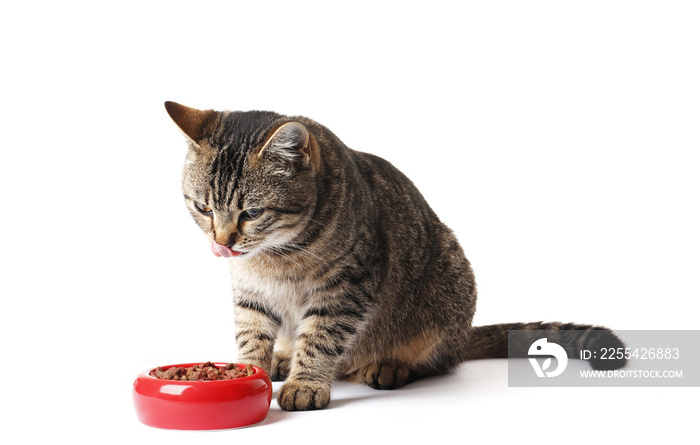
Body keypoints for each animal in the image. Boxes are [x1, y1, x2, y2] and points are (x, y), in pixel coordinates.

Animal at [165, 100, 628, 410]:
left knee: (438, 360)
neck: (275, 255)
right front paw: (253, 371)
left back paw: (389, 366)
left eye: (252, 213)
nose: (223, 242)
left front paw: (306, 382)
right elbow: (251, 334)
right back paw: (284, 357)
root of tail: (463, 334)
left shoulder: (346, 289)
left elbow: (321, 339)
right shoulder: (250, 292)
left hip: (449, 288)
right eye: (203, 208)